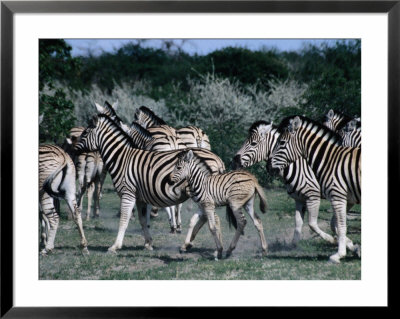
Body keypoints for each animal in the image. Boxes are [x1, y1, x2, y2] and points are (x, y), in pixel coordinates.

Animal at [74, 114, 225, 254]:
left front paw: (115, 246)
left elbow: (124, 219)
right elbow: (143, 220)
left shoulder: (128, 193)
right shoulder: (140, 197)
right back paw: (188, 244)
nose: (74, 151)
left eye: (85, 133)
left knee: (213, 218)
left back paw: (214, 248)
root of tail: (218, 160)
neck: (121, 158)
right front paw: (148, 243)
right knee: (205, 217)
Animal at [272, 116, 362, 264]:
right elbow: (335, 225)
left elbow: (341, 226)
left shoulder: (337, 197)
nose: (269, 167)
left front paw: (339, 255)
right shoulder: (347, 199)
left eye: (282, 142)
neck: (330, 160)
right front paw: (354, 248)